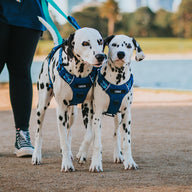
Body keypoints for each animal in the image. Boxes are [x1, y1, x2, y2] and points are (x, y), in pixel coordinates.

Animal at [31, 19, 106, 172]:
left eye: (100, 41)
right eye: (85, 43)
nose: (100, 56)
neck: (79, 73)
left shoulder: (88, 106)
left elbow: (89, 134)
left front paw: (81, 154)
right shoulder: (61, 110)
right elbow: (63, 140)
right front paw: (66, 164)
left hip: (72, 114)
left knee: (69, 133)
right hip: (42, 107)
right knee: (39, 133)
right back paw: (36, 155)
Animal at [77, 34, 145, 171]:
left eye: (129, 46)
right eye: (114, 44)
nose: (120, 53)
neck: (116, 81)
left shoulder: (126, 116)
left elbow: (126, 142)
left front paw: (129, 162)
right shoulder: (97, 116)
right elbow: (97, 143)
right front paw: (96, 164)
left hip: (117, 118)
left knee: (115, 135)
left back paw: (118, 155)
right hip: (89, 114)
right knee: (89, 135)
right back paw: (82, 153)